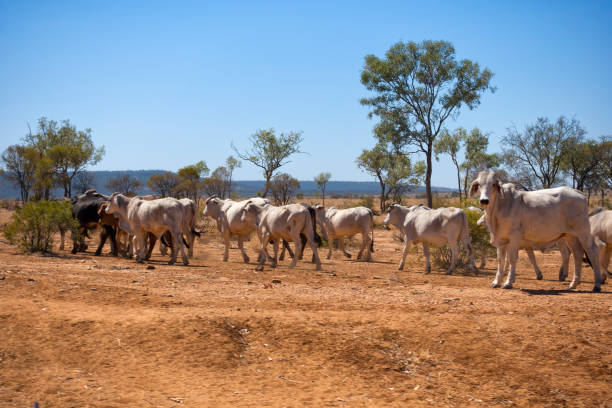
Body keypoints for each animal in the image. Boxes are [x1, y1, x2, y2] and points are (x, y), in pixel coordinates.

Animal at [470, 171, 604, 292]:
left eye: (493, 184)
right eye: (479, 184)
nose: (484, 200)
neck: (500, 207)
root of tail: (578, 193)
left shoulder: (514, 238)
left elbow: (512, 259)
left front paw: (508, 282)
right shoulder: (501, 240)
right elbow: (501, 260)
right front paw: (496, 282)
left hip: (583, 231)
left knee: (592, 251)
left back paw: (597, 284)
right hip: (570, 235)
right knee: (577, 253)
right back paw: (573, 284)